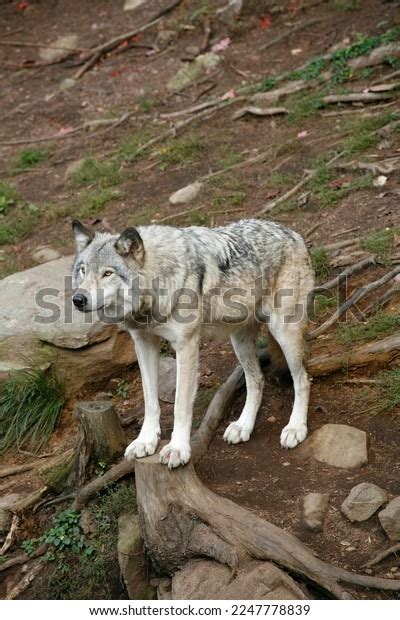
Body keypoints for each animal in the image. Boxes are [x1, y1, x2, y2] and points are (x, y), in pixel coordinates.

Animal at [72, 220, 316, 468]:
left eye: (107, 273)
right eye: (83, 270)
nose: (78, 299)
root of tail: (293, 233)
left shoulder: (186, 345)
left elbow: (180, 405)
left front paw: (177, 448)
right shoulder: (143, 343)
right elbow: (150, 401)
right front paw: (145, 441)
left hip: (283, 332)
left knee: (303, 380)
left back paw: (295, 428)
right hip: (239, 341)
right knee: (256, 380)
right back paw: (243, 426)